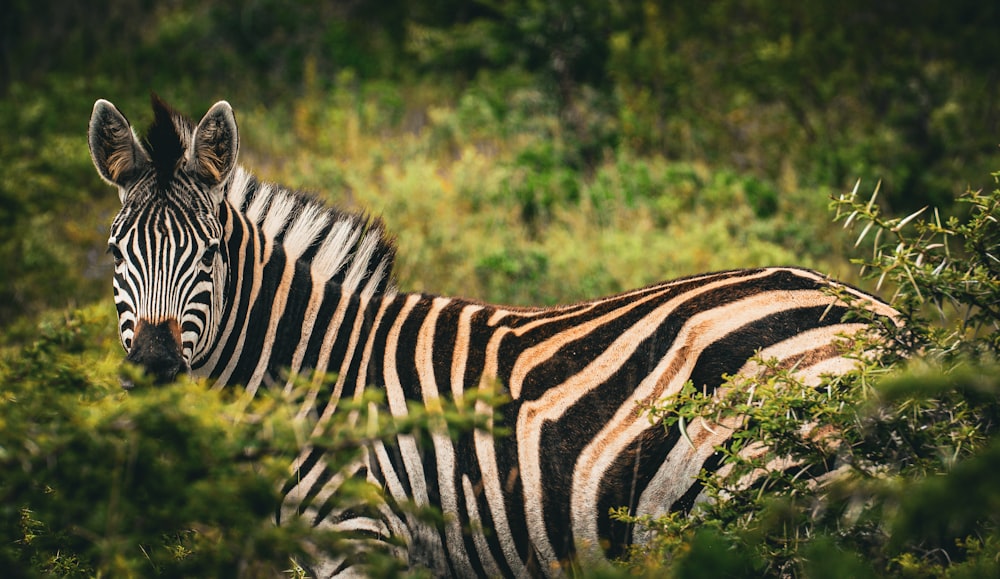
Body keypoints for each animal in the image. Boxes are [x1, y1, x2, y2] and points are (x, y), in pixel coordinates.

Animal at [90, 97, 904, 576]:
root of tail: (885, 319)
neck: (313, 369)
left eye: (210, 253)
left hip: (777, 499)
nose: (155, 365)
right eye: (116, 251)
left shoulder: (359, 536)